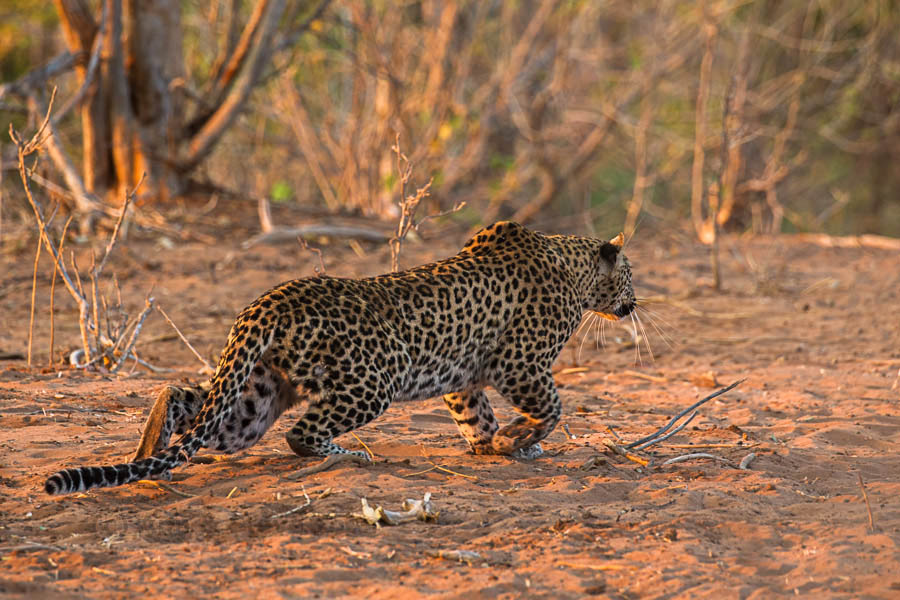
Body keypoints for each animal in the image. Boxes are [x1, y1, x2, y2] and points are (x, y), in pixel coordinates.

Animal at [44, 221, 634, 495]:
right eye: (630, 275)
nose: (633, 304)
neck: (574, 270)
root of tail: (266, 302)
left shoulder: (465, 379)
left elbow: (477, 416)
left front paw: (498, 446)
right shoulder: (520, 362)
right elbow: (553, 407)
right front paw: (520, 439)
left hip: (254, 399)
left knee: (182, 399)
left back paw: (149, 454)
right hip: (373, 381)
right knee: (301, 434)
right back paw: (350, 456)